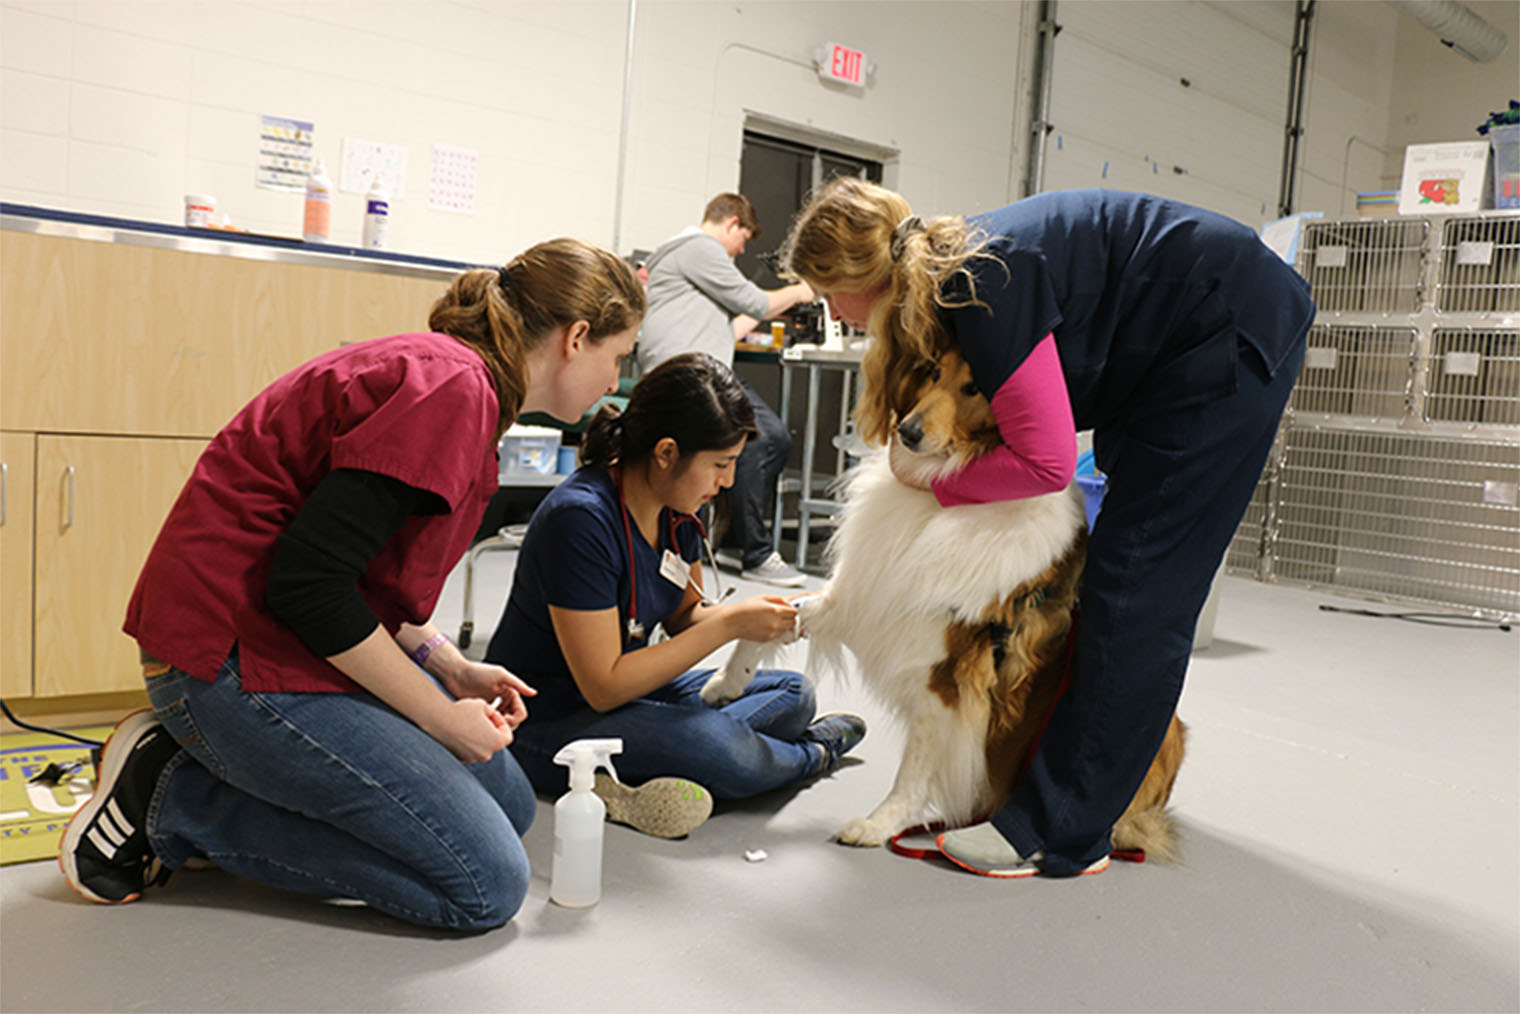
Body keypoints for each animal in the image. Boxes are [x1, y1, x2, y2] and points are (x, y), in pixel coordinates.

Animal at [702, 346, 1185, 857]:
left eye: (976, 387)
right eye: (933, 371)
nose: (908, 432)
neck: (946, 490)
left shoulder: (947, 677)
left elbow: (916, 768)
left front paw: (879, 824)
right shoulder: (868, 599)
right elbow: (778, 619)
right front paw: (726, 682)